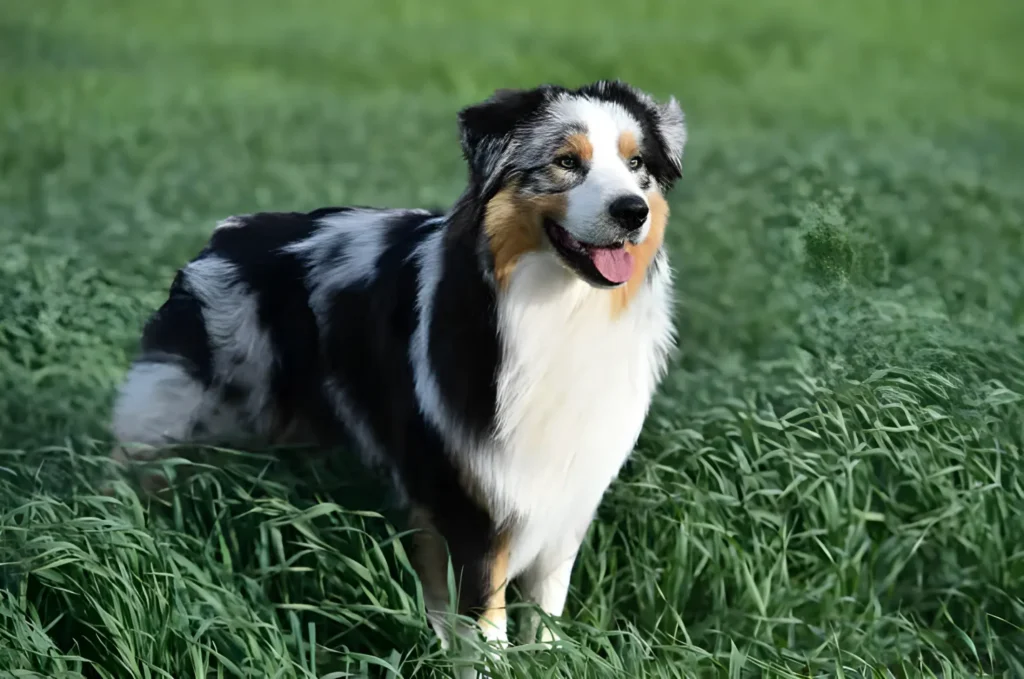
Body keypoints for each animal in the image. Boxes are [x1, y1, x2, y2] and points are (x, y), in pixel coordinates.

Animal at [110, 80, 688, 655]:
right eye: (567, 161)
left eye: (637, 163)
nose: (633, 211)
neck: (557, 311)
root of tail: (227, 232)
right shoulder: (470, 502)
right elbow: (486, 626)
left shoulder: (564, 497)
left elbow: (541, 617)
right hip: (178, 416)